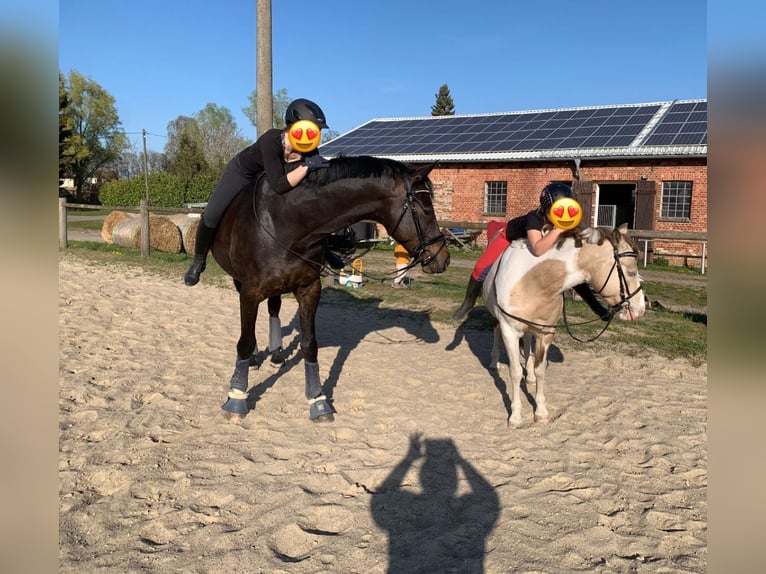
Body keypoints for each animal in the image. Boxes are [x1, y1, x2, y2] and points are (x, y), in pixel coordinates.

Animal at [210, 158, 450, 424]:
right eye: (425, 208)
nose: (443, 258)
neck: (287, 223)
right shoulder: (250, 292)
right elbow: (244, 341)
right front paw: (236, 398)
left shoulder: (309, 290)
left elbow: (309, 345)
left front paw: (318, 401)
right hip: (240, 283)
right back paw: (254, 359)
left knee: (274, 309)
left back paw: (276, 355)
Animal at [486, 225, 648, 428]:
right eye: (631, 272)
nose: (640, 309)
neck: (533, 282)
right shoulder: (510, 331)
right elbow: (515, 372)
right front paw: (515, 416)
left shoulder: (545, 332)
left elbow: (540, 370)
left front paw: (540, 411)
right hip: (498, 320)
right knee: (496, 333)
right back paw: (494, 363)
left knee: (528, 343)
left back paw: (529, 376)